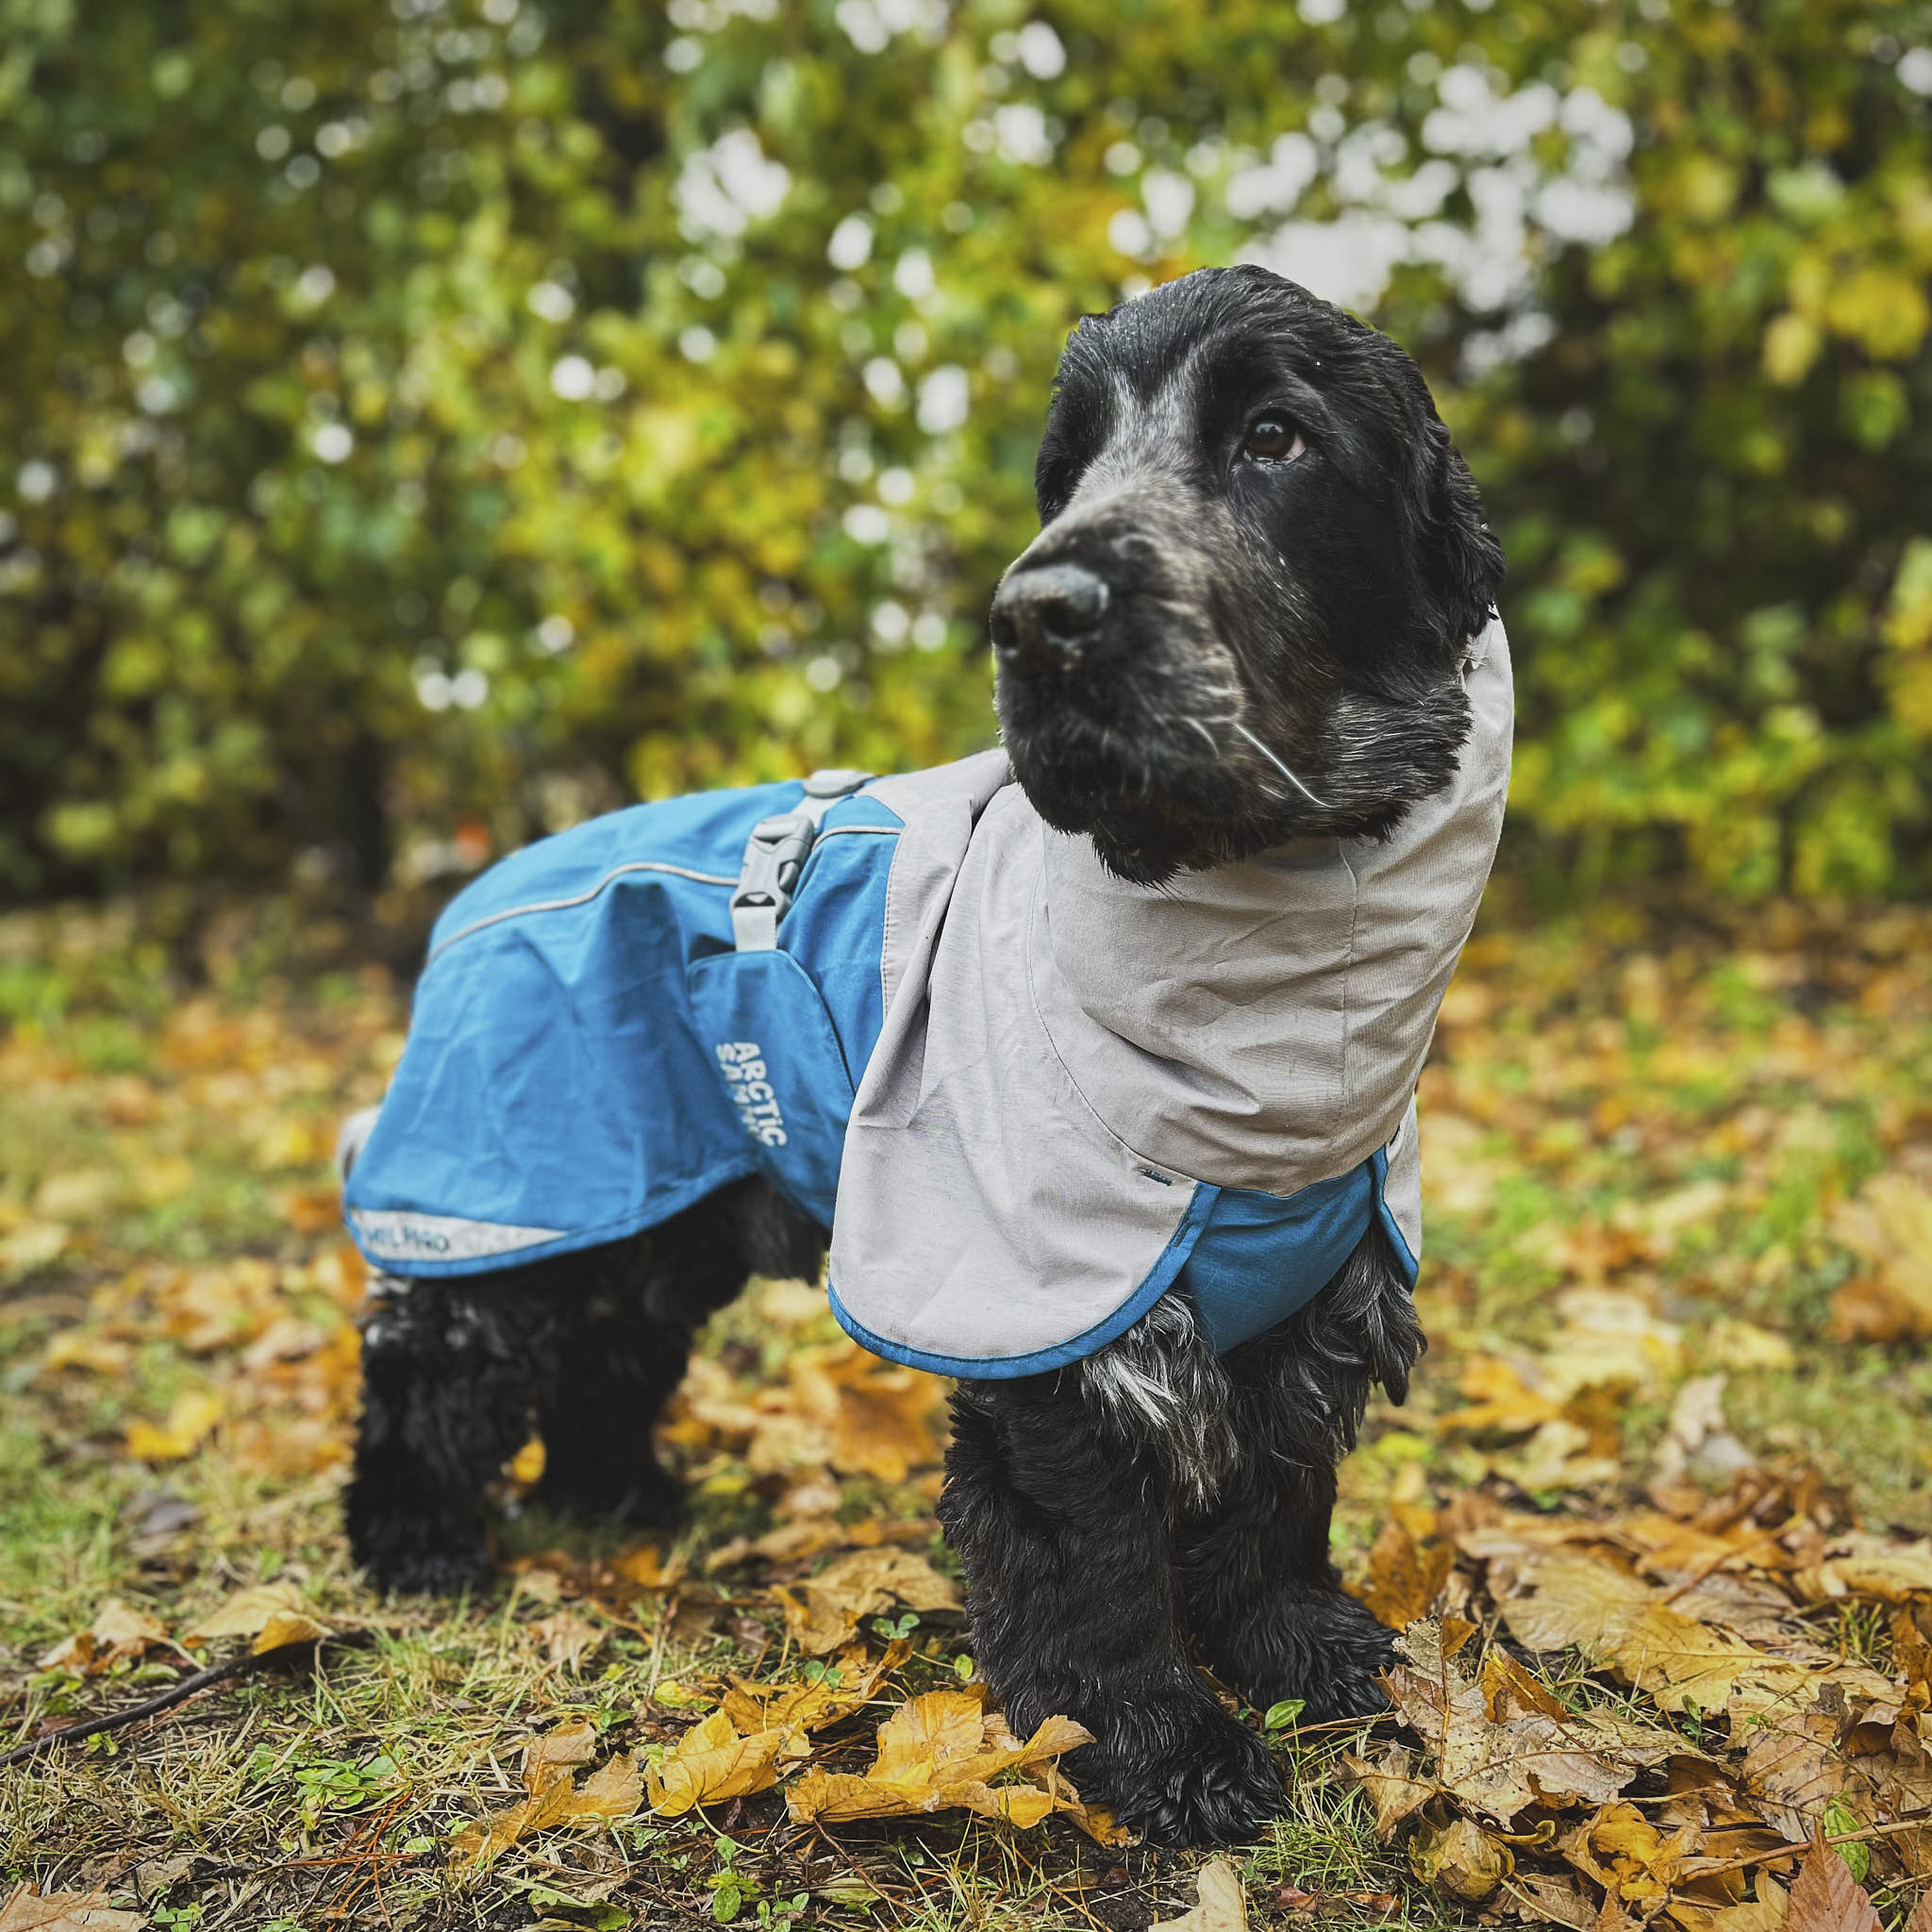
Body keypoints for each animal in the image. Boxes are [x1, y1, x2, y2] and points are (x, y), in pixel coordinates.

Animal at [343, 264, 1507, 1846]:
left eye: (1277, 435)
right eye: (1067, 467)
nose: (1036, 615)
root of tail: (476, 887)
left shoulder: (1309, 1294)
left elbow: (1278, 1502)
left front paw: (1305, 1649)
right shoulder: (1044, 1318)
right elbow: (1093, 1563)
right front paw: (1161, 1748)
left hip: (667, 1215)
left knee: (610, 1355)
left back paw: (621, 1500)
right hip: (519, 1190)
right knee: (431, 1359)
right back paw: (412, 1542)